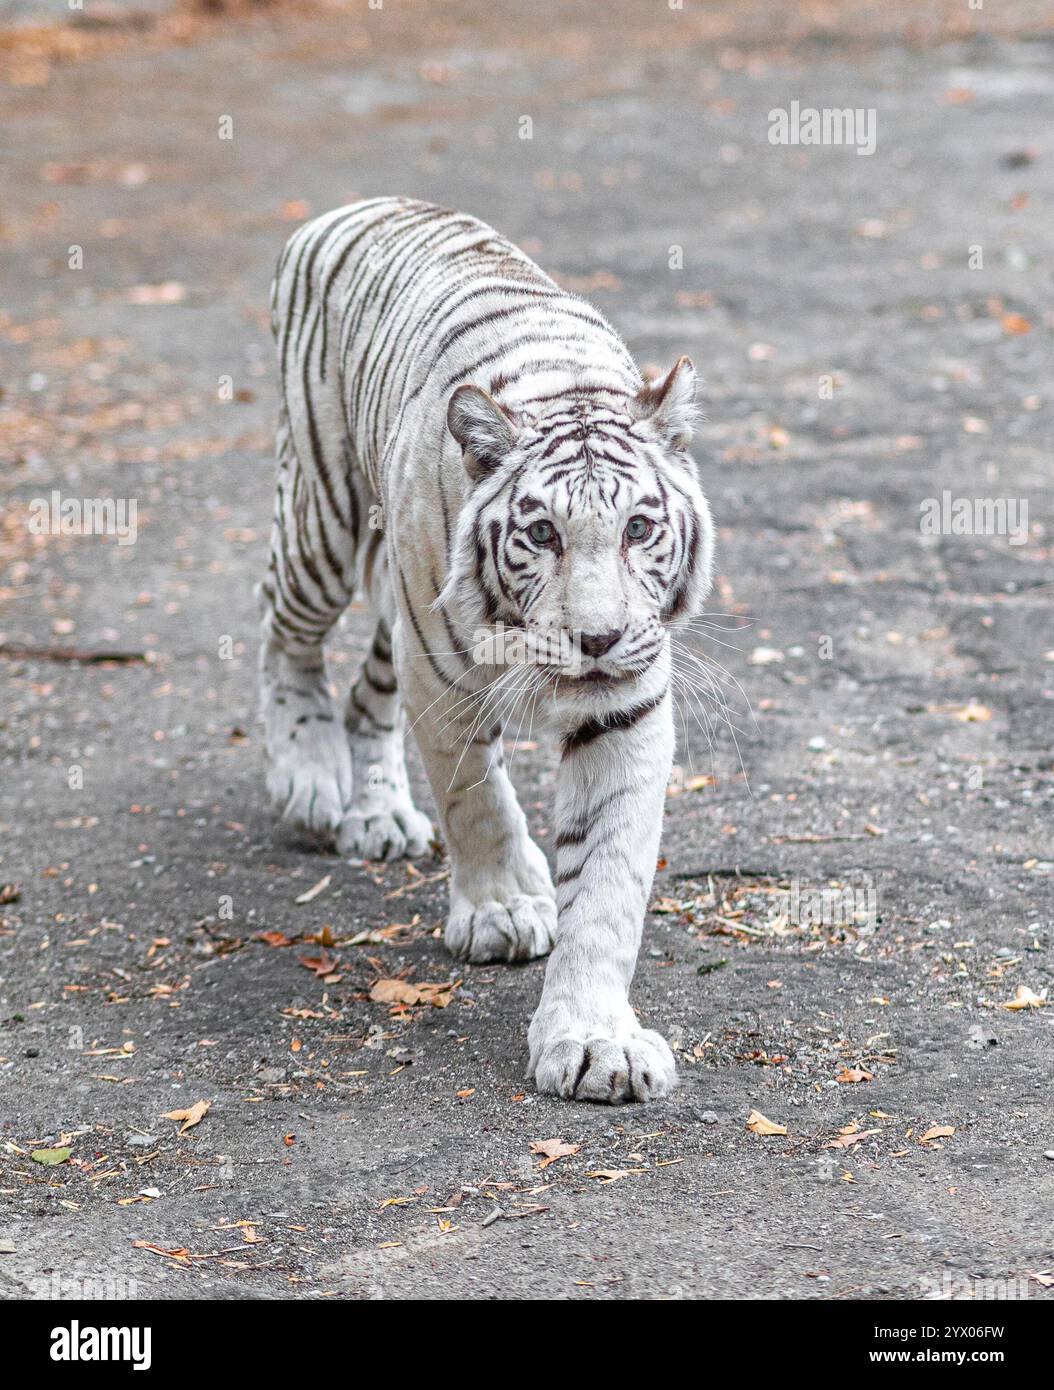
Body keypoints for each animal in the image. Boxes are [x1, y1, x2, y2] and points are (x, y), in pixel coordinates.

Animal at [258, 198, 711, 1106]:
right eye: (541, 535)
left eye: (639, 528)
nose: (598, 639)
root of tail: (351, 205)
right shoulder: (441, 677)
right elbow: (477, 802)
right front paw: (501, 909)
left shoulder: (628, 709)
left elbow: (607, 885)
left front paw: (597, 1041)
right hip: (323, 525)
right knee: (283, 633)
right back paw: (311, 778)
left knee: (365, 694)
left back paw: (381, 816)